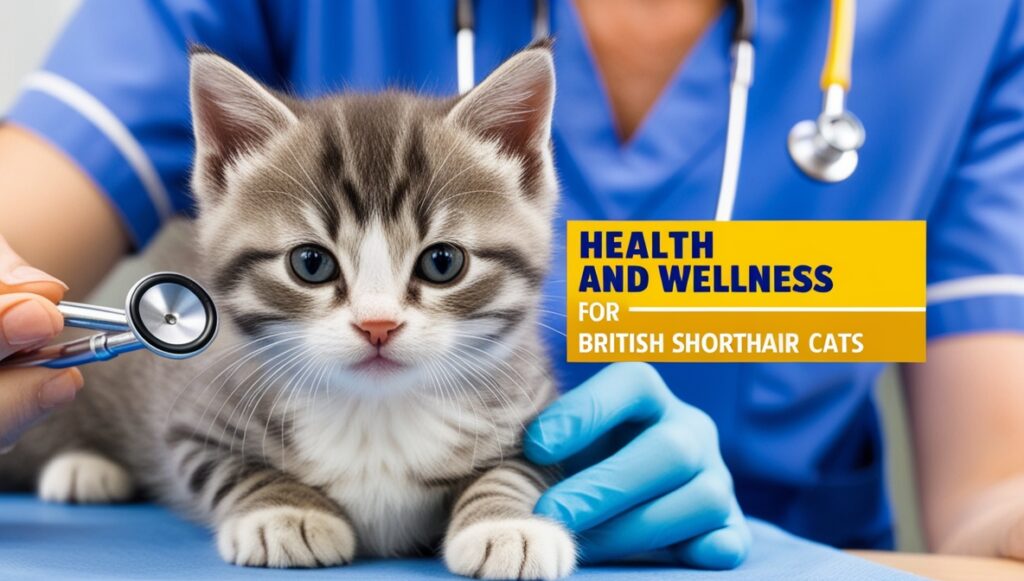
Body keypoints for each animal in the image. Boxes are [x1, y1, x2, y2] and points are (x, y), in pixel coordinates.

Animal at [0, 43, 577, 577]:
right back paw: (83, 466)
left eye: (442, 262)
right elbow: (232, 468)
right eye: (311, 263)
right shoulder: (191, 416)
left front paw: (506, 524)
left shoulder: (536, 410)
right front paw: (285, 514)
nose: (378, 325)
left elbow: (520, 467)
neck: (376, 411)